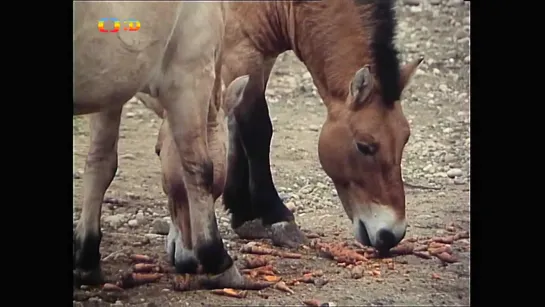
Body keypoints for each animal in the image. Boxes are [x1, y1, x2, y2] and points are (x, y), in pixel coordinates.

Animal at [140, 0, 420, 274]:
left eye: (405, 138)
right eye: (364, 146)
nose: (391, 235)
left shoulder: (260, 59)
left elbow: (235, 127)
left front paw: (242, 211)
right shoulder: (241, 52)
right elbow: (256, 130)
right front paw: (275, 215)